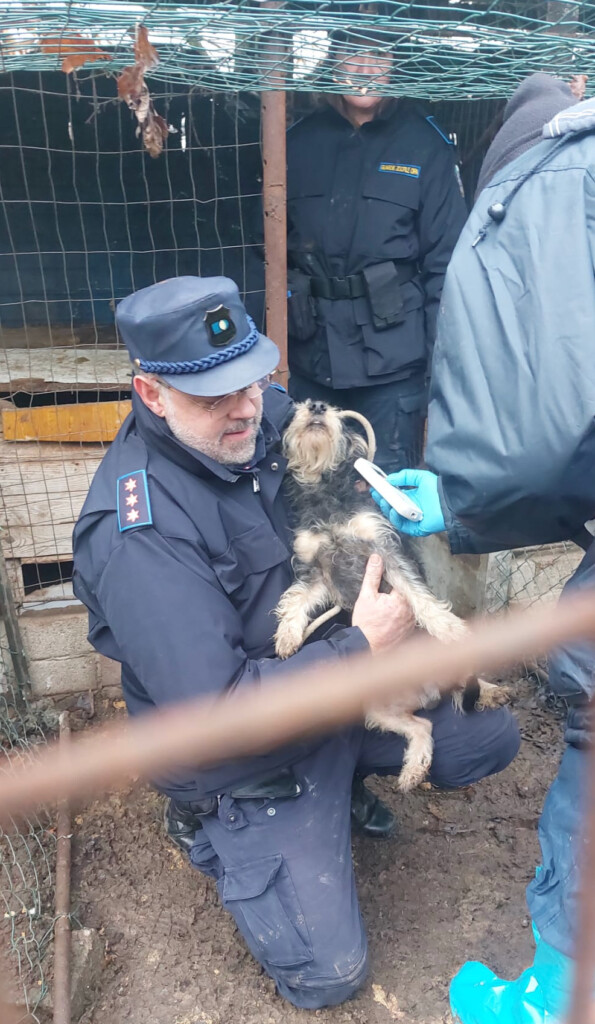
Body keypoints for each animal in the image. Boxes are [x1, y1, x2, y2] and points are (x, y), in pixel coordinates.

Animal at [274, 399, 505, 790]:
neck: (324, 490)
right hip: (378, 709)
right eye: (297, 409)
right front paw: (288, 635)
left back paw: (490, 689)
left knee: (467, 680)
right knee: (423, 726)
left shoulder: (386, 550)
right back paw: (412, 771)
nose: (317, 405)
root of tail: (429, 691)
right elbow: (294, 598)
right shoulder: (316, 572)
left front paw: (448, 627)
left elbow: (420, 596)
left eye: (336, 412)